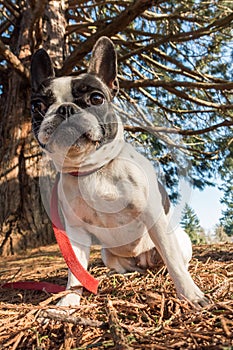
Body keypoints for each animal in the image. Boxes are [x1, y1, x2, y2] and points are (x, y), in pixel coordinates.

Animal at [30, 36, 208, 308]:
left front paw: (191, 296)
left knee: (174, 259)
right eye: (37, 105)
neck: (92, 169)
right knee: (124, 267)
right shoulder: (76, 233)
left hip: (179, 237)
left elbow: (174, 261)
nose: (65, 109)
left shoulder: (153, 217)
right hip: (107, 254)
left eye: (96, 98)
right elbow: (76, 271)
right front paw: (69, 302)